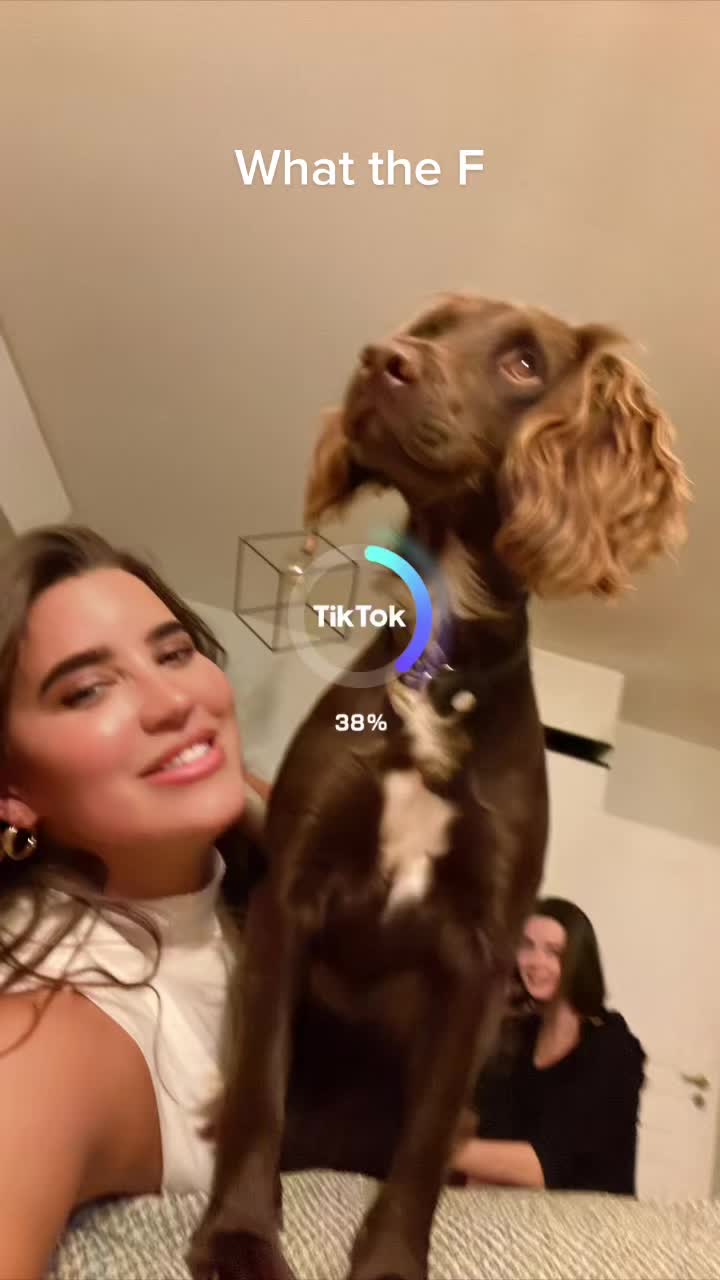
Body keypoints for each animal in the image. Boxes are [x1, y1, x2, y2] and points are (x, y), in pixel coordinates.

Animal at [188, 293, 689, 1280]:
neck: (443, 662)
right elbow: (260, 1088)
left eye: (526, 362)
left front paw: (386, 1261)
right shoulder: (290, 894)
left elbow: (419, 1147)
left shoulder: (481, 953)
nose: (381, 358)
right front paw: (240, 1236)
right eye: (432, 325)